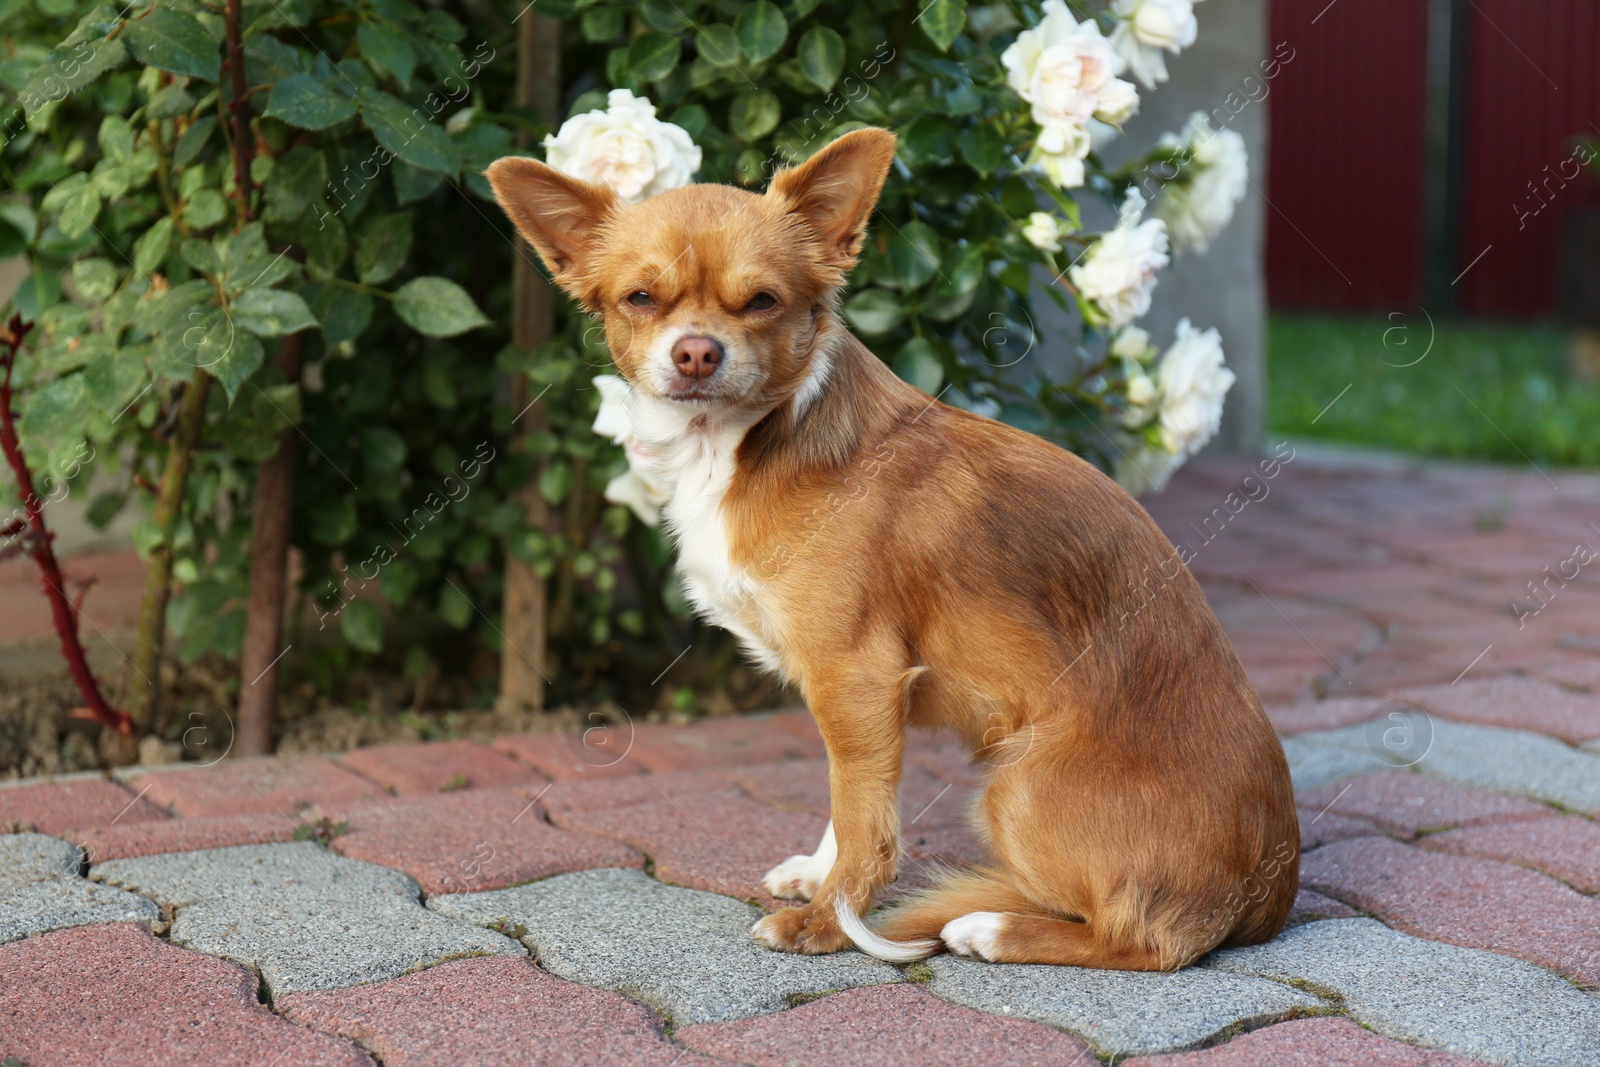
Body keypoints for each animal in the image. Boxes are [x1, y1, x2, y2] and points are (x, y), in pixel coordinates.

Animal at [489, 129, 1299, 972]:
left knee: (1144, 939)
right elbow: (851, 799)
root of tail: (1266, 894)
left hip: (1017, 786)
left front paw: (826, 917)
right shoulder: (858, 695)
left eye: (763, 301)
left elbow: (864, 817)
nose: (697, 353)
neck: (739, 446)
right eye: (640, 299)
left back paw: (991, 928)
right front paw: (819, 875)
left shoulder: (857, 676)